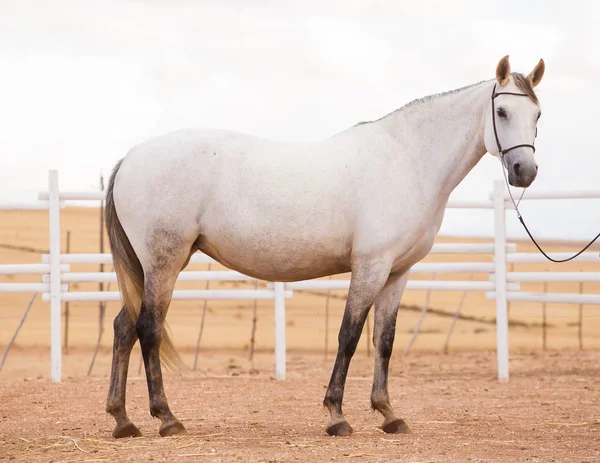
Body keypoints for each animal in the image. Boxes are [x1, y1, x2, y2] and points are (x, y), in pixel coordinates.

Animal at [103, 55, 544, 438]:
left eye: (537, 115)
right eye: (502, 112)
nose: (525, 171)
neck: (406, 161)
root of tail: (130, 159)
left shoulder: (397, 273)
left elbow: (383, 341)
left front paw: (388, 413)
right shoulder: (370, 266)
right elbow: (349, 336)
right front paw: (336, 415)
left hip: (149, 267)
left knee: (124, 328)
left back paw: (123, 420)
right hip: (164, 262)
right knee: (148, 328)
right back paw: (166, 418)